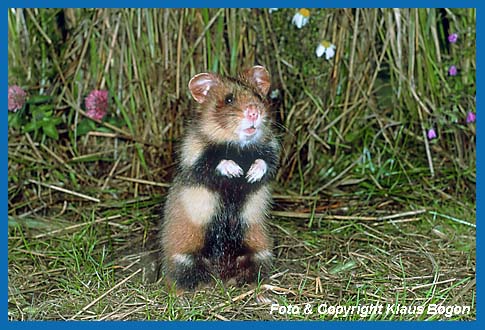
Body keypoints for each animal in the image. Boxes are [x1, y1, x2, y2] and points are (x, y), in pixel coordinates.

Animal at [160, 64, 278, 288]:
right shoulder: (194, 157)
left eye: (259, 96)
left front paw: (250, 175)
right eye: (229, 99)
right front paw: (237, 171)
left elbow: (264, 162)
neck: (239, 147)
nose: (254, 112)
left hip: (257, 250)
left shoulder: (271, 150)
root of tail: (220, 274)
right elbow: (215, 163)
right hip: (184, 255)